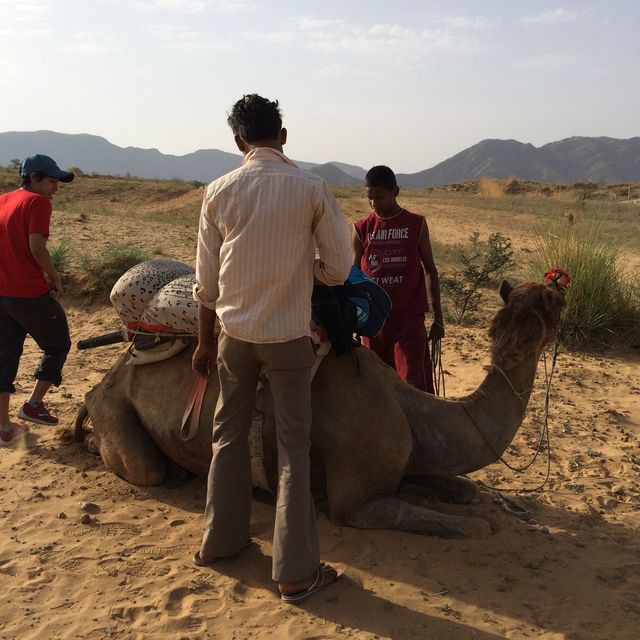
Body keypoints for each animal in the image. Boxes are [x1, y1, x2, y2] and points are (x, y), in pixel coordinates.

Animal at [76, 282, 564, 536]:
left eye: (537, 309)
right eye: (553, 303)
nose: (560, 285)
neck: (411, 412)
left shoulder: (405, 463)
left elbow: (464, 489)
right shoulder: (357, 500)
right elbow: (470, 526)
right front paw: (479, 524)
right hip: (116, 406)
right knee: (145, 468)